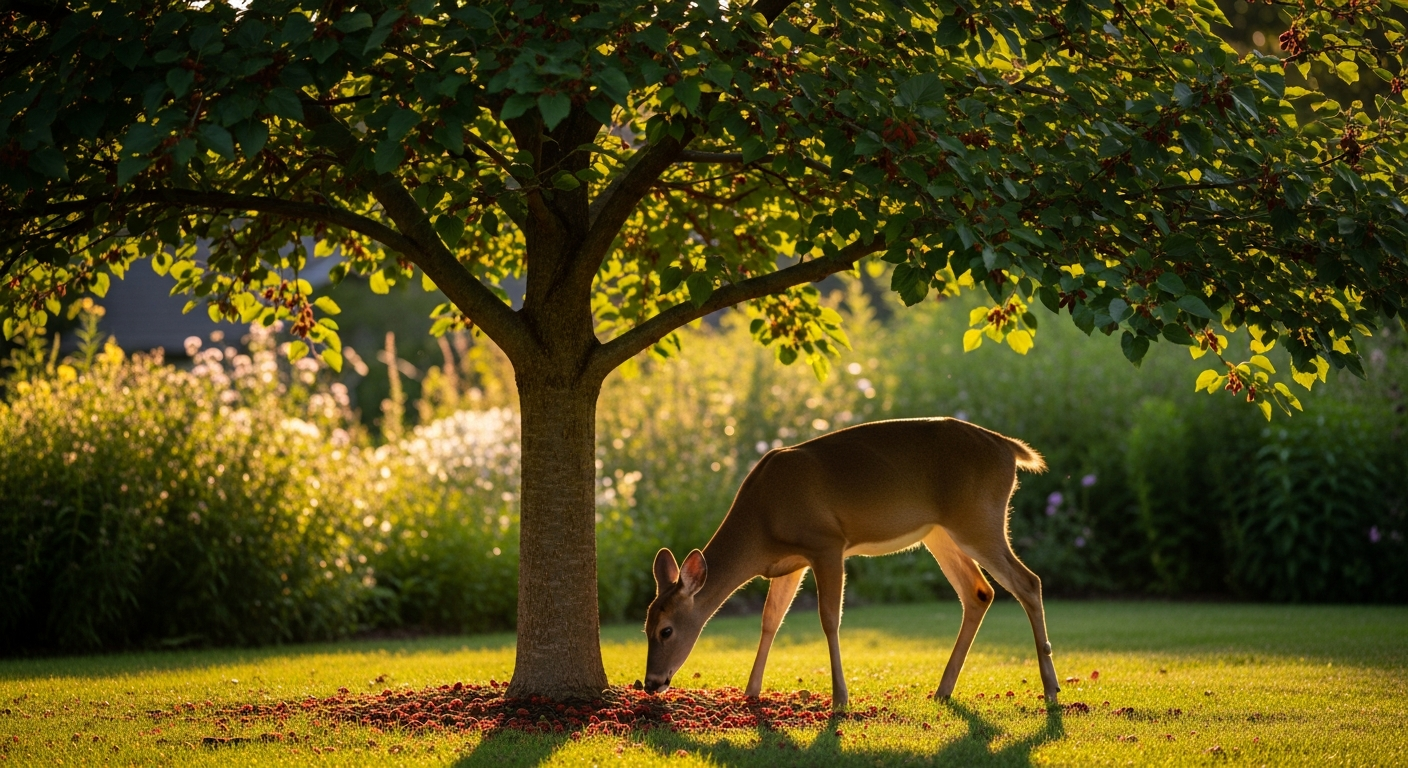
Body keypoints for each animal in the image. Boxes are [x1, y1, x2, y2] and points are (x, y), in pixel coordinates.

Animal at [642, 417, 1059, 711]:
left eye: (666, 630)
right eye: (645, 628)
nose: (651, 682)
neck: (762, 523)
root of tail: (1008, 448)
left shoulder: (826, 543)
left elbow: (829, 619)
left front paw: (840, 699)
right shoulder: (790, 563)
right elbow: (770, 619)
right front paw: (751, 691)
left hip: (978, 520)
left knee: (1028, 582)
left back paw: (1051, 689)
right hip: (939, 532)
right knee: (979, 592)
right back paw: (942, 690)